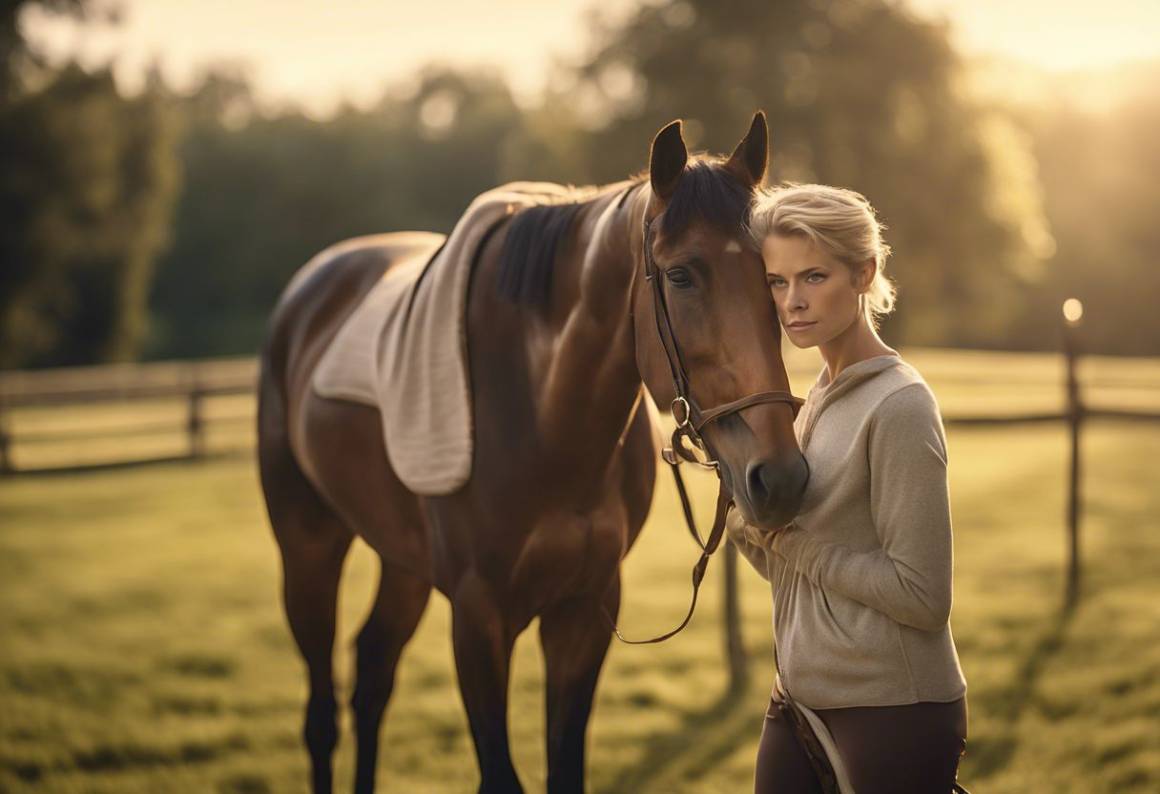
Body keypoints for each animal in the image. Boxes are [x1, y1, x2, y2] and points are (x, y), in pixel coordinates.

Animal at [258, 113, 812, 794]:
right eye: (681, 274)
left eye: (776, 277)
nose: (779, 476)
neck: (544, 416)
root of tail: (311, 287)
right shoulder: (478, 619)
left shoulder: (585, 609)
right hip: (308, 546)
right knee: (321, 714)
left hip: (403, 561)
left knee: (371, 674)